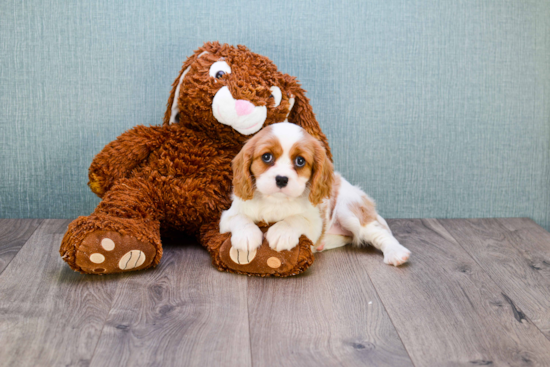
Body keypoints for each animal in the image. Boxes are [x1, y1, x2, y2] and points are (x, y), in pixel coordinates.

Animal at [222, 122, 412, 266]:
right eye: (266, 157)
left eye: (300, 161)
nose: (282, 179)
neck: (276, 201)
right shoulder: (227, 216)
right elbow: (240, 218)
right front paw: (247, 235)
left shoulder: (314, 222)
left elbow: (296, 219)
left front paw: (282, 232)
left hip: (348, 209)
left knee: (379, 233)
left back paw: (396, 252)